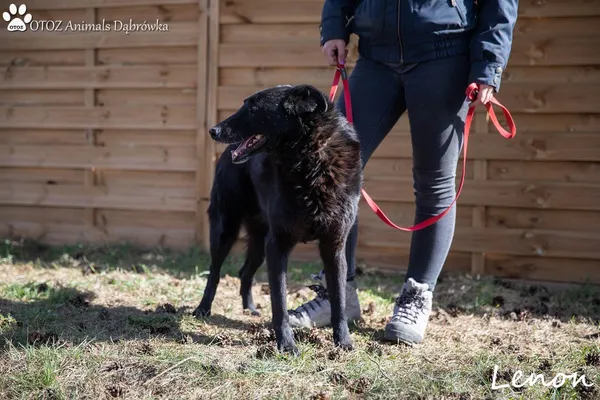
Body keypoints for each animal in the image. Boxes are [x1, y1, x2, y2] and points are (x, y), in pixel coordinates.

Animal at [193, 83, 360, 354]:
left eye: (252, 108)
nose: (213, 130)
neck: (311, 161)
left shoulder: (334, 246)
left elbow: (339, 301)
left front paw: (343, 341)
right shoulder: (278, 245)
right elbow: (279, 302)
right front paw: (286, 345)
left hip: (260, 243)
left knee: (245, 271)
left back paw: (249, 308)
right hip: (225, 229)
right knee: (214, 272)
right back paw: (203, 308)